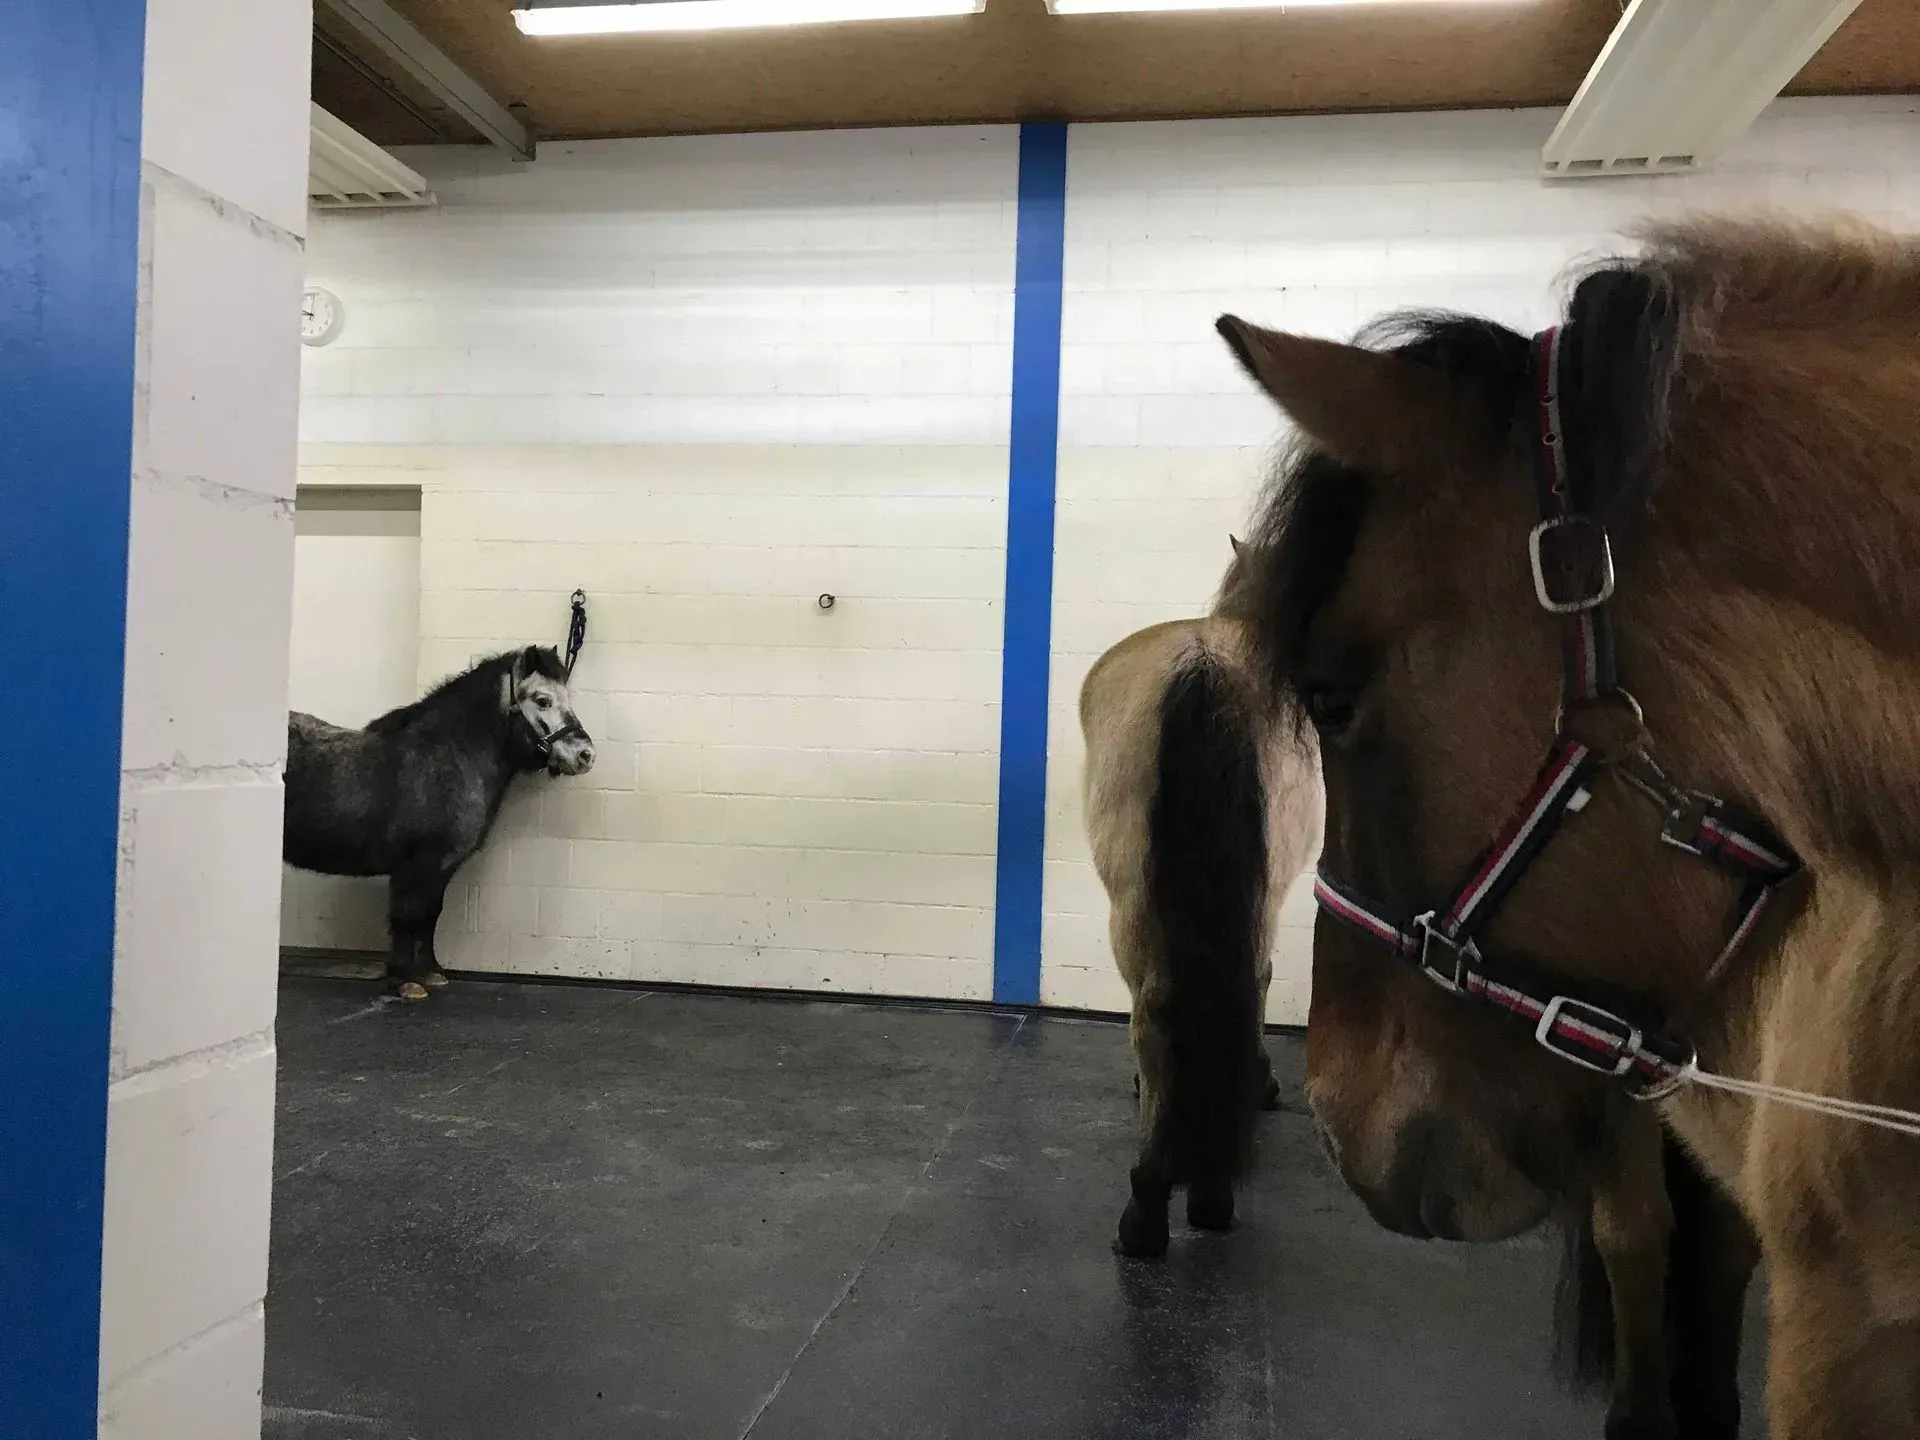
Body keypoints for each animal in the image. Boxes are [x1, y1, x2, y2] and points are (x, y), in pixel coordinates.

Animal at [283, 645, 595, 1001]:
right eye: (543, 700)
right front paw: (406, 981)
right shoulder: (418, 863)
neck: (447, 756)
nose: (585, 755)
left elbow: (430, 915)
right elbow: (409, 915)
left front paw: (430, 973)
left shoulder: (441, 866)